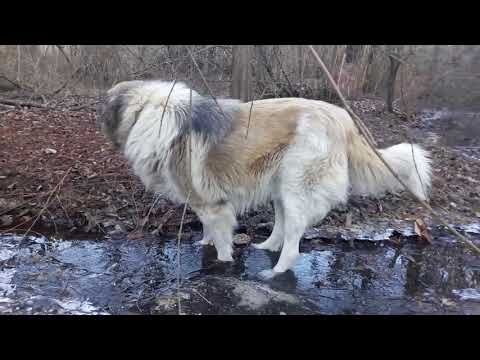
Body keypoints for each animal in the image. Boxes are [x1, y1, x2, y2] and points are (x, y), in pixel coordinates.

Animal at [97, 80, 432, 278]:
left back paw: (275, 271)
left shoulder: (213, 204)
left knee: (294, 241)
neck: (147, 111)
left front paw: (222, 262)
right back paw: (265, 248)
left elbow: (221, 238)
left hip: (297, 189)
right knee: (281, 227)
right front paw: (204, 244)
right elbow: (207, 228)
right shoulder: (205, 202)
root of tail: (345, 120)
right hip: (281, 188)